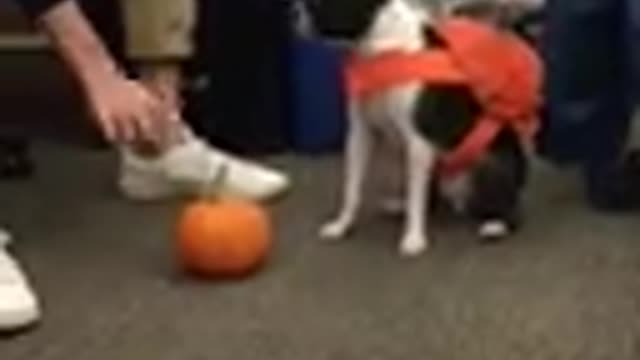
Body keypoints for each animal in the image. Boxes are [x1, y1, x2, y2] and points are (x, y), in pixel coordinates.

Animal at [308, 0, 544, 256]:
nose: (300, 15)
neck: (379, 47)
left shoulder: (418, 141)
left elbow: (415, 198)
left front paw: (413, 238)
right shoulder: (360, 134)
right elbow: (352, 187)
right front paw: (342, 224)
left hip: (490, 162)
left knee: (510, 208)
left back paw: (496, 225)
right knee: (429, 197)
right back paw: (400, 206)